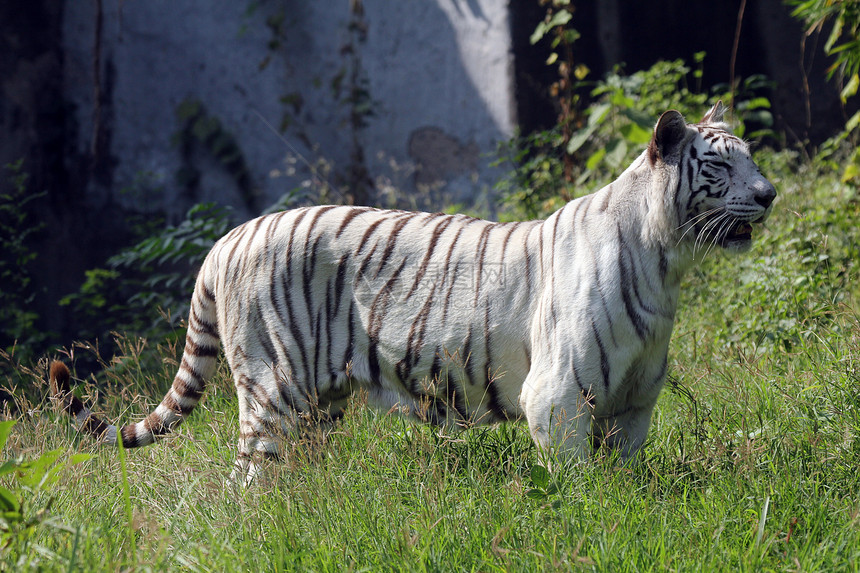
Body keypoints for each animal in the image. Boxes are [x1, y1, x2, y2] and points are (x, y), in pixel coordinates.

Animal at [48, 101, 772, 478]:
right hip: (270, 389)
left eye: (752, 156)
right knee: (248, 479)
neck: (668, 262)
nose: (769, 193)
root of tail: (226, 240)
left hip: (318, 403)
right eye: (720, 164)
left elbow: (624, 476)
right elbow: (581, 485)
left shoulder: (633, 404)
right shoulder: (558, 396)